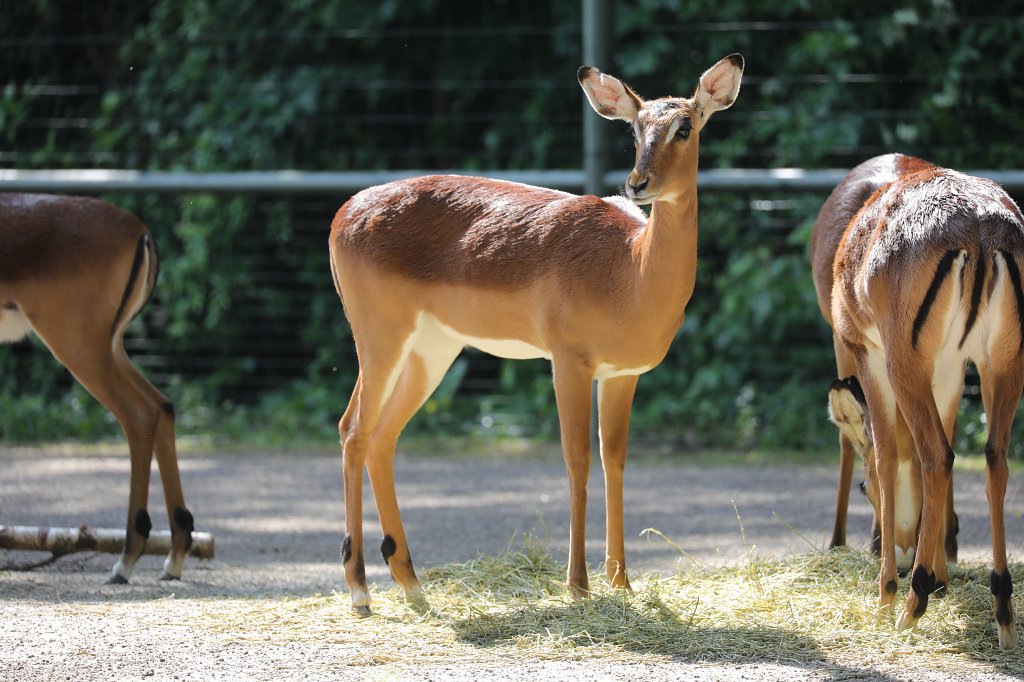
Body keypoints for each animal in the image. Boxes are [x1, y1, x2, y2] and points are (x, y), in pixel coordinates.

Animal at [0, 194, 194, 583]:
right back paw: (173, 556)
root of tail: (138, 229)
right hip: (110, 347)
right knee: (162, 404)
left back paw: (126, 559)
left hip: (78, 346)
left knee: (139, 415)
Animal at [328, 54, 744, 613]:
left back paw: (413, 585)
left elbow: (615, 461)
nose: (638, 182)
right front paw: (578, 585)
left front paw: (621, 582)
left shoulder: (622, 375)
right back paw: (359, 591)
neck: (630, 269)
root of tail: (346, 211)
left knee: (382, 436)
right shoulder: (568, 363)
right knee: (353, 429)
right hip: (380, 341)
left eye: (685, 125)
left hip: (431, 352)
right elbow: (577, 460)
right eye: (635, 127)